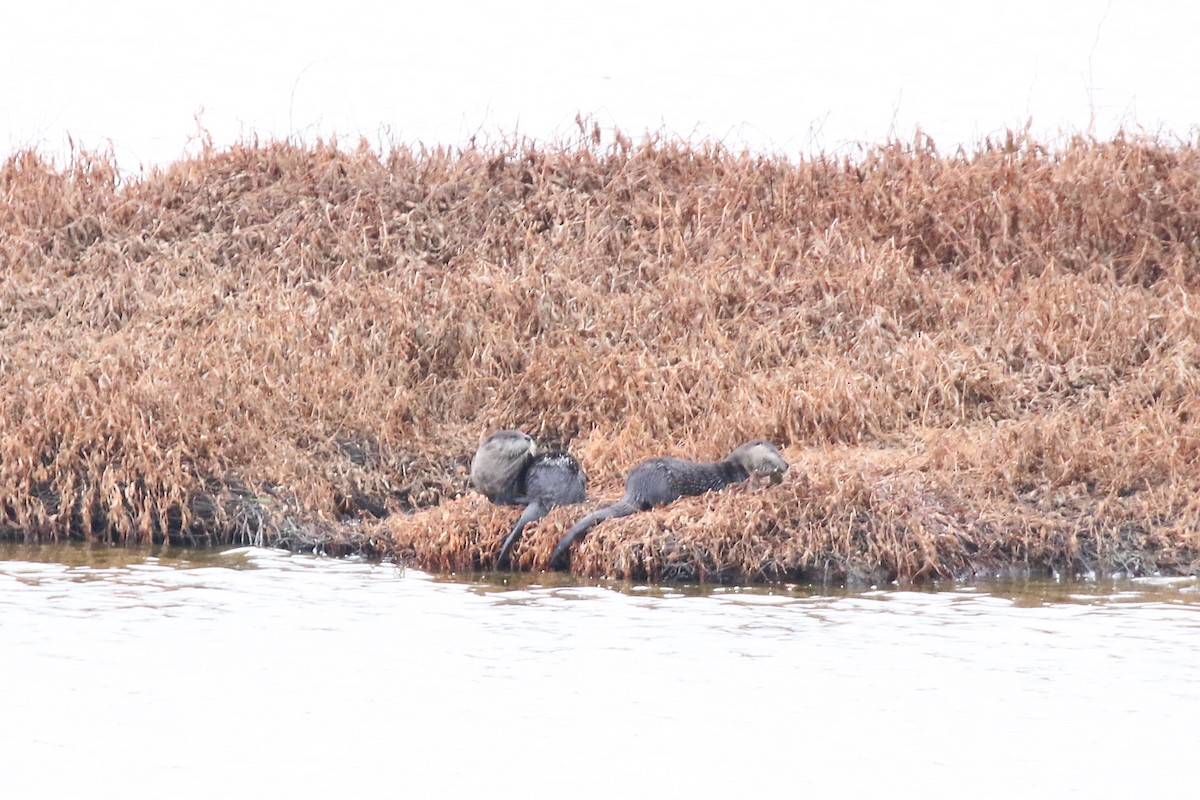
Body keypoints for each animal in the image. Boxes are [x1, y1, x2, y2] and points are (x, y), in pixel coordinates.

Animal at [470, 430, 588, 569]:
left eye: (521, 433)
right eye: (513, 436)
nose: (528, 437)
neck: (491, 475)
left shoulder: (508, 487)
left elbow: (502, 498)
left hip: (536, 472)